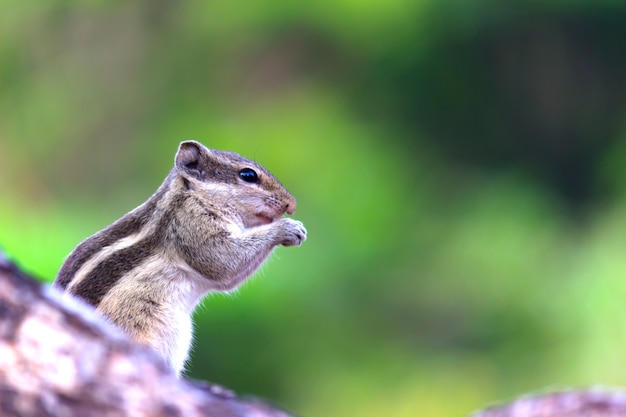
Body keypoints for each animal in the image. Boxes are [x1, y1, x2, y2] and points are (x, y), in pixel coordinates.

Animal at [53, 140, 308, 374]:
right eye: (248, 175)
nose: (292, 205)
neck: (192, 195)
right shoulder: (193, 225)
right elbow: (223, 261)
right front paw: (288, 228)